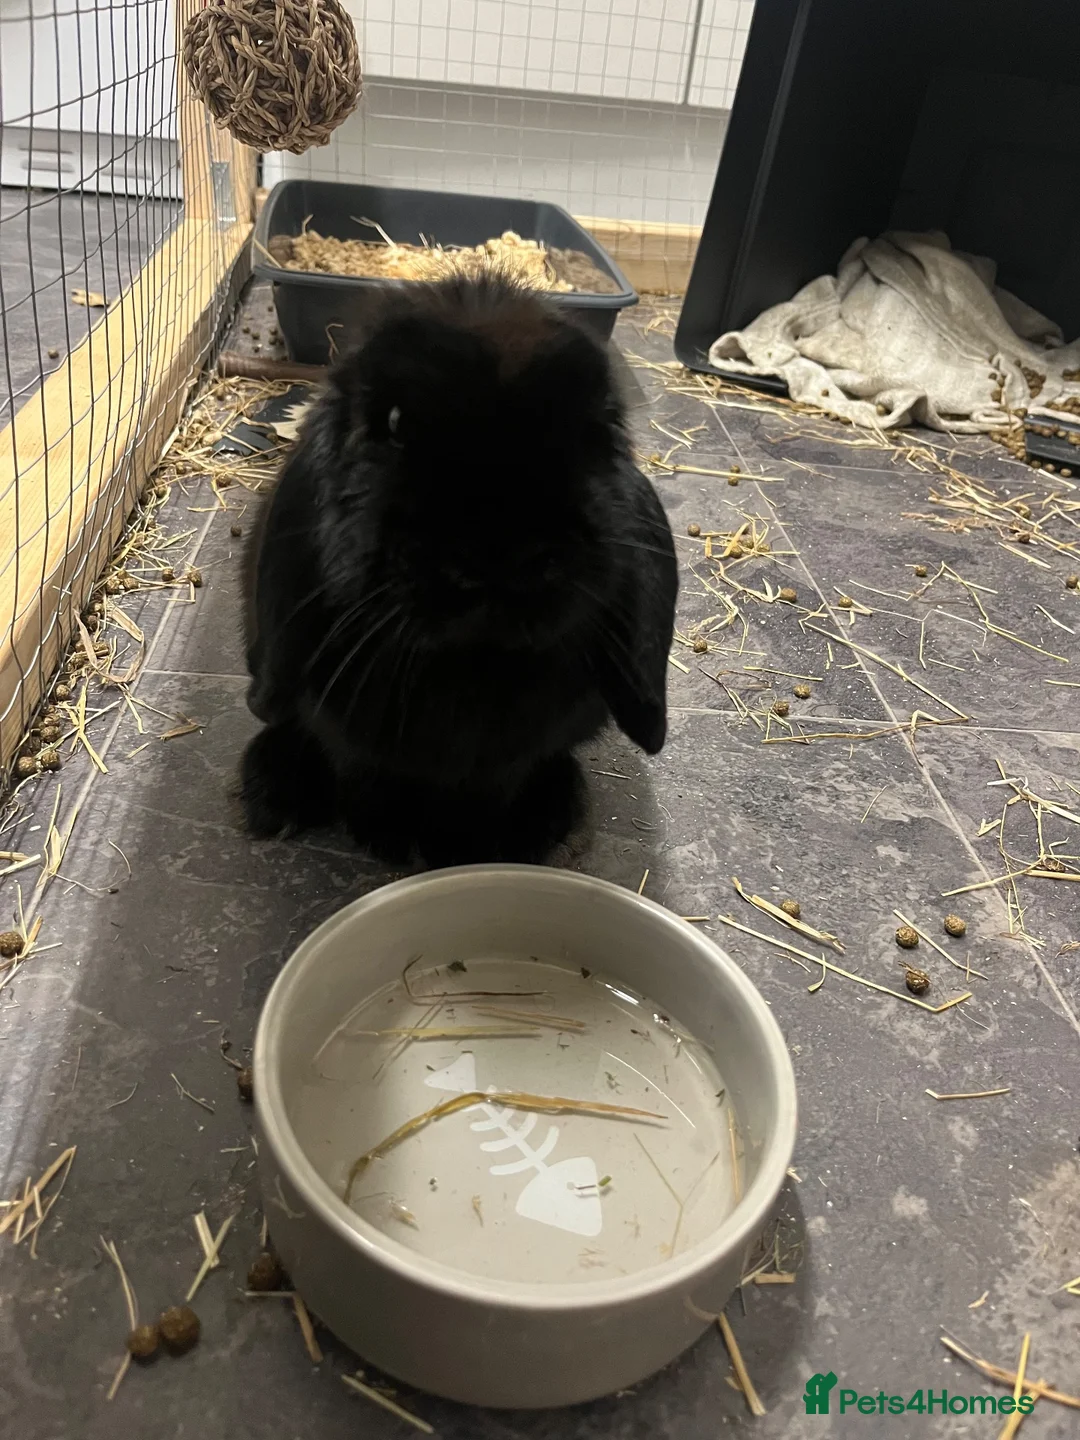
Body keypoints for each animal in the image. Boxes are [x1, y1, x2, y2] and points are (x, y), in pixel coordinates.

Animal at [240, 272, 677, 866]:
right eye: (395, 423)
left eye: (597, 431)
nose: (501, 553)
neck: (470, 668)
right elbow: (361, 770)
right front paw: (392, 837)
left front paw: (469, 846)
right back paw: (272, 795)